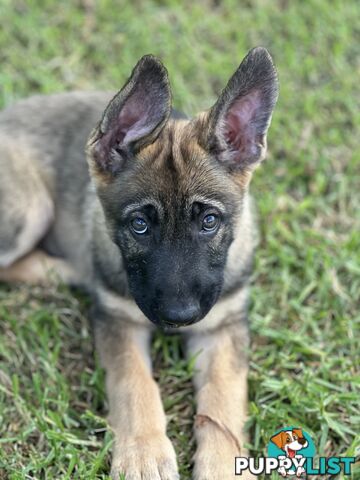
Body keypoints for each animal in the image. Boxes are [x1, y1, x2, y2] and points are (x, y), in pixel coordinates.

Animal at [0, 47, 278, 478]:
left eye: (209, 221)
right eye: (140, 225)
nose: (179, 317)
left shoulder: (224, 326)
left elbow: (223, 398)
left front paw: (222, 464)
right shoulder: (119, 320)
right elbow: (135, 385)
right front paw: (143, 454)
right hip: (29, 209)